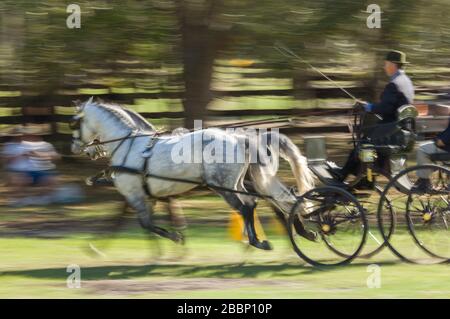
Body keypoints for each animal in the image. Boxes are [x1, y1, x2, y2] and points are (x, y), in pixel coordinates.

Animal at [71, 97, 316, 250]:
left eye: (74, 124)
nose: (76, 148)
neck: (129, 145)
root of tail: (240, 138)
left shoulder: (134, 194)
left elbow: (144, 223)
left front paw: (176, 238)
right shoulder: (151, 196)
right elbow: (141, 222)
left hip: (222, 185)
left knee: (247, 207)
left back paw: (259, 241)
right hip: (237, 183)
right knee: (262, 203)